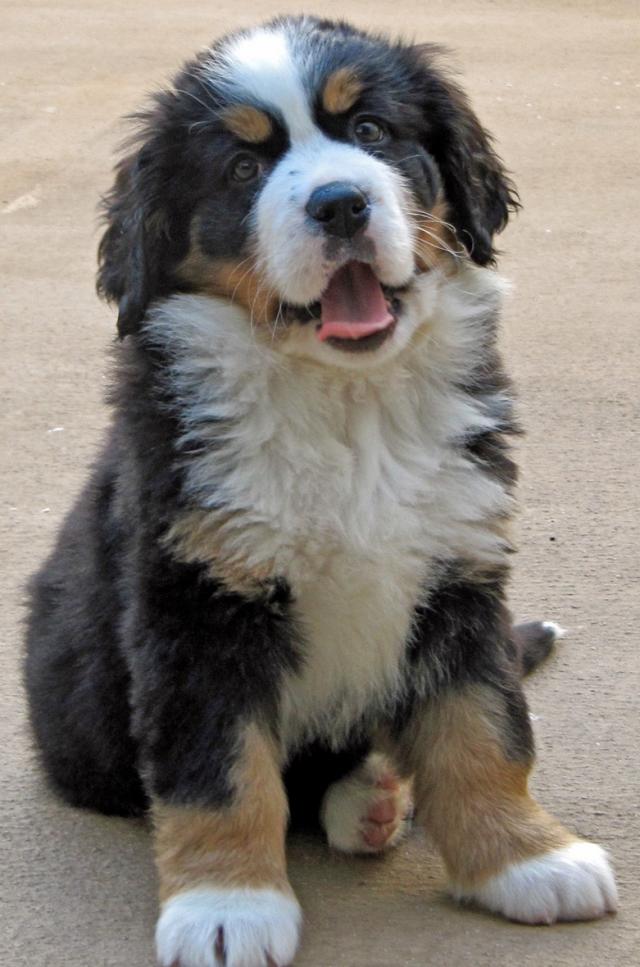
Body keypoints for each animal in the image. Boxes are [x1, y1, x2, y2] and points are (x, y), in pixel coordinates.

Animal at [26, 15, 620, 967]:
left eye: (370, 131)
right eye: (242, 168)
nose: (340, 203)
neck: (347, 404)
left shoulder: (459, 566)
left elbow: (485, 726)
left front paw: (526, 857)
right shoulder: (195, 601)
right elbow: (222, 769)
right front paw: (226, 905)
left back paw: (377, 794)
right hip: (79, 714)